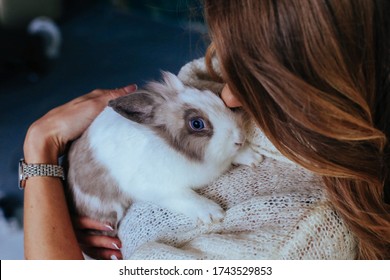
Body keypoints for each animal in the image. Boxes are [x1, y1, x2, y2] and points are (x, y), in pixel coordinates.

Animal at [67, 71, 262, 231]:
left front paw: (253, 157)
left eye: (216, 98)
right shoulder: (158, 188)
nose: (240, 138)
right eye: (197, 124)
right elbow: (186, 197)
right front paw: (212, 214)